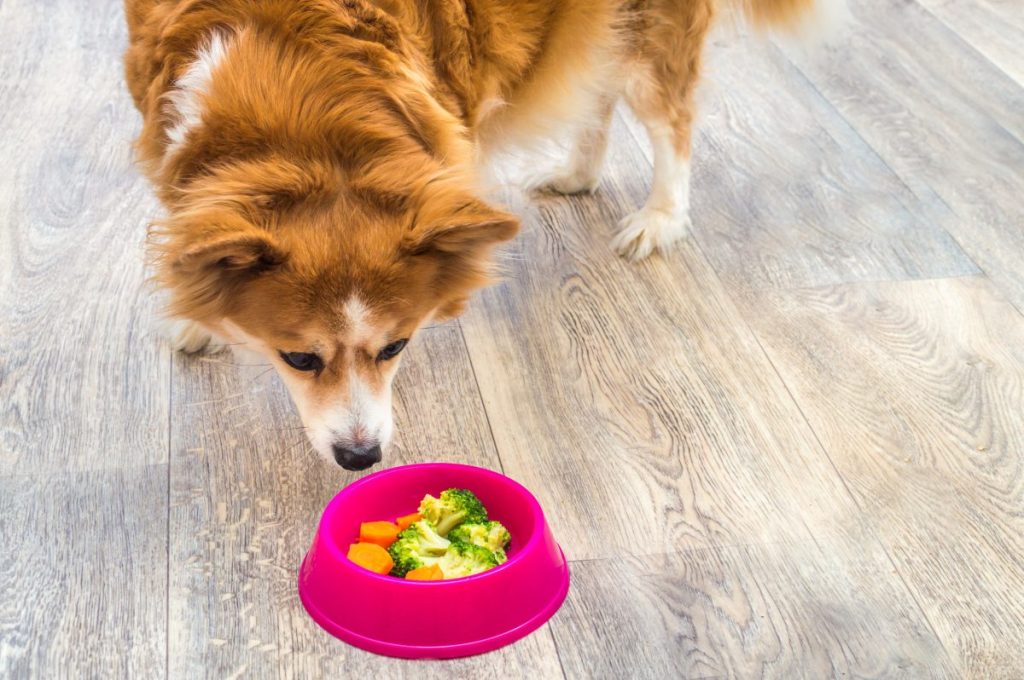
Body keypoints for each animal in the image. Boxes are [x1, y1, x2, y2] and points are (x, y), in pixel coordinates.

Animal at [123, 0, 819, 466]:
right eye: (298, 359)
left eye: (396, 347)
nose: (361, 458)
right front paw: (196, 310)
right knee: (595, 92)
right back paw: (577, 174)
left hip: (651, 30)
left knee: (669, 116)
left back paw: (661, 218)